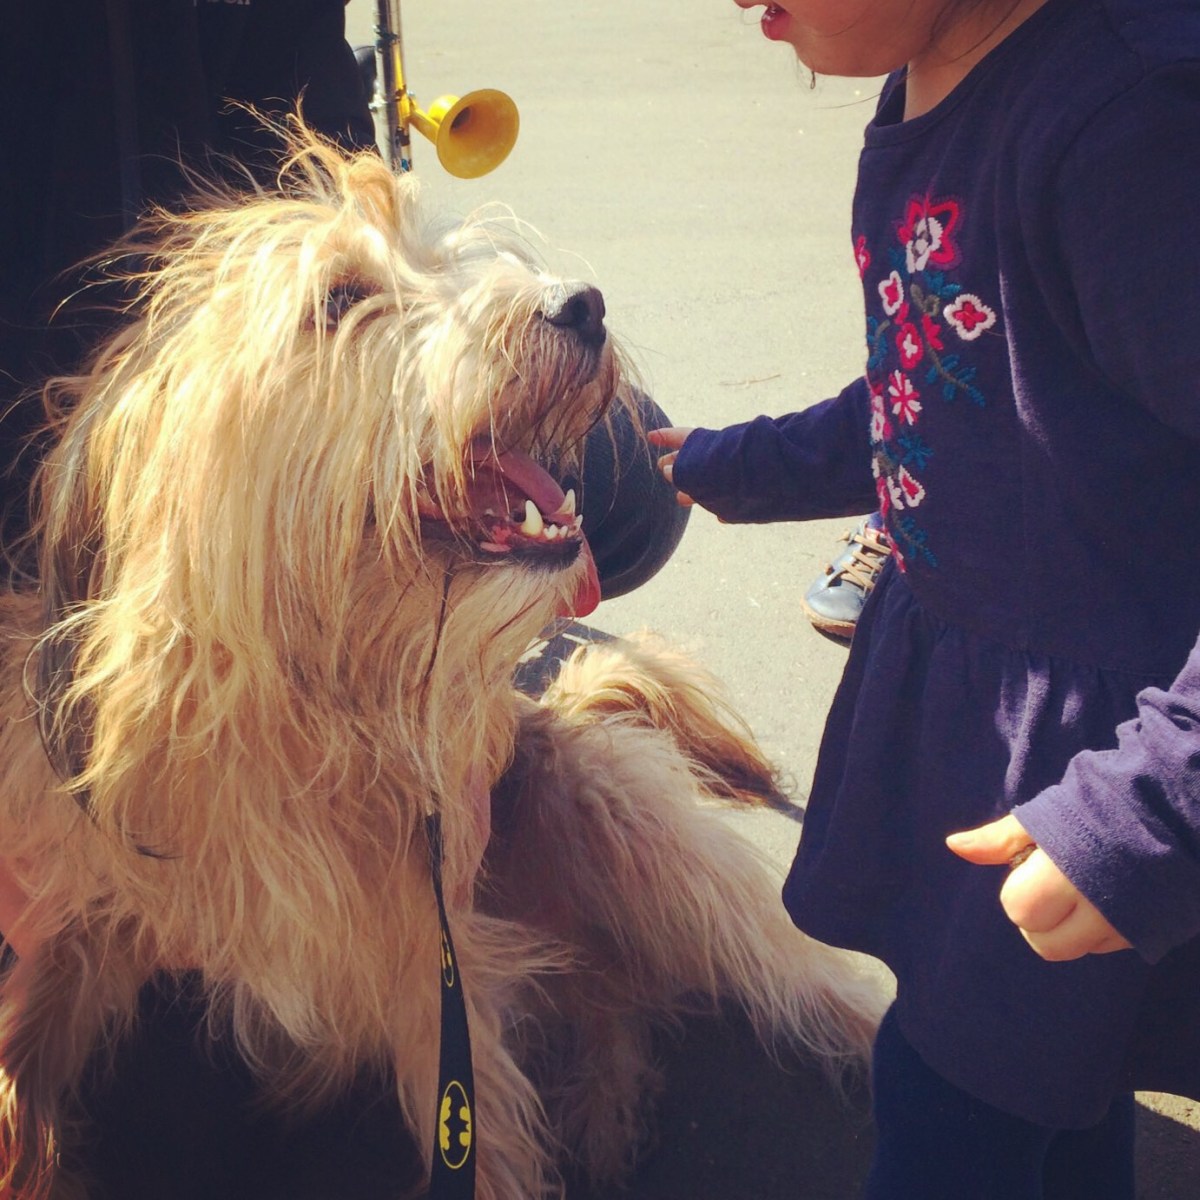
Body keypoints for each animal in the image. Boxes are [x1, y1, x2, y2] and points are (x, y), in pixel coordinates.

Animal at [0, 126, 884, 1199]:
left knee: (799, 973)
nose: (582, 304)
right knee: (609, 990)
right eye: (340, 297)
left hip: (627, 828)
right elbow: (25, 1044)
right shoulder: (86, 915)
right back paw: (603, 1107)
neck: (304, 712)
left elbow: (483, 1140)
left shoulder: (433, 971)